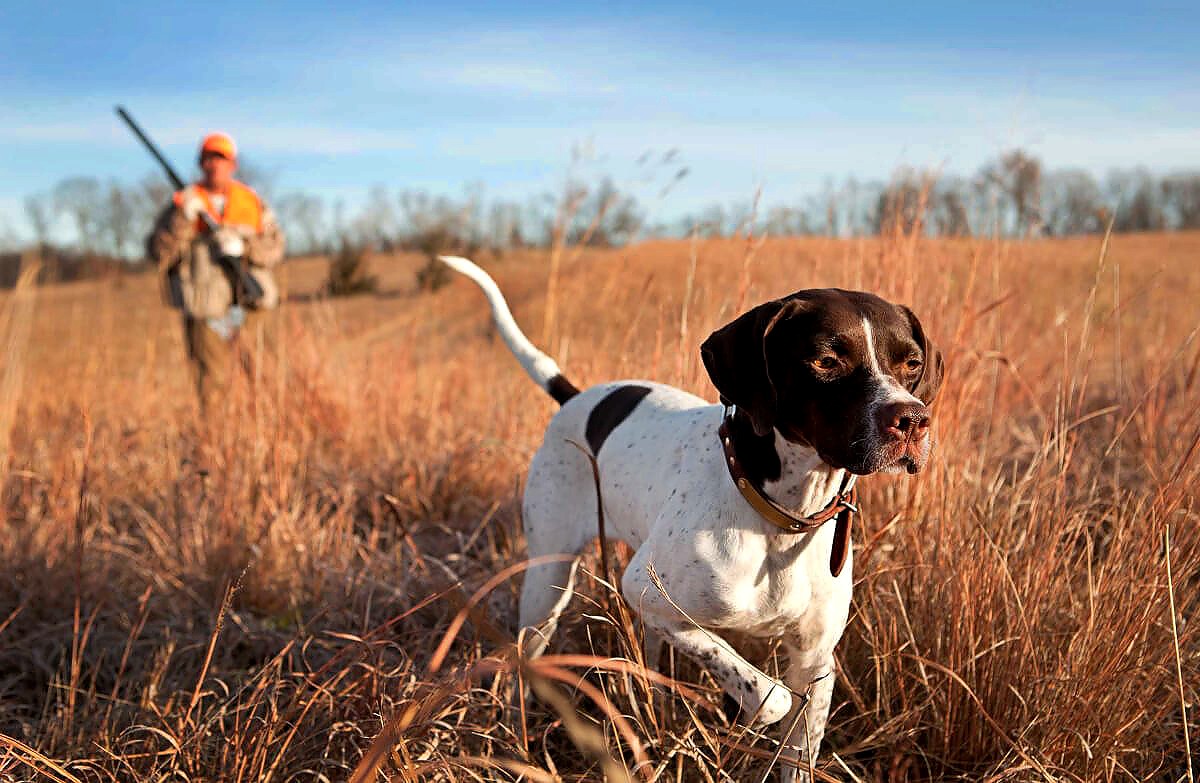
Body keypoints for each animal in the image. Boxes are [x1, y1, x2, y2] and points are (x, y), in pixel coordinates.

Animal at [436, 253, 940, 778]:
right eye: (826, 360)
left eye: (912, 363)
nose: (912, 419)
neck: (779, 514)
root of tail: (574, 398)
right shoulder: (646, 590)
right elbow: (767, 694)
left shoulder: (815, 659)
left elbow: (796, 747)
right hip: (547, 584)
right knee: (525, 661)